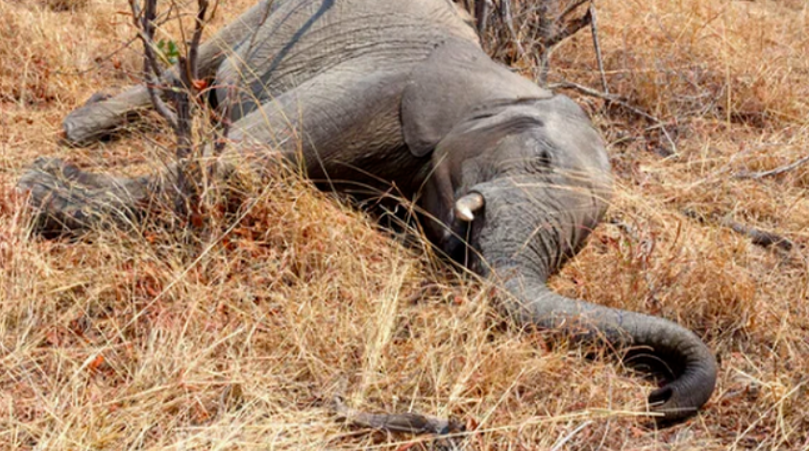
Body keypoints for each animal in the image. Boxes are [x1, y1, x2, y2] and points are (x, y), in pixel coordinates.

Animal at [17, 0, 717, 423]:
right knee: (195, 66)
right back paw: (80, 130)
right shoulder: (385, 84)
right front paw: (40, 188)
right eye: (540, 158)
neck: (505, 85)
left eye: (579, 244)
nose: (657, 395)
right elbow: (241, 161)